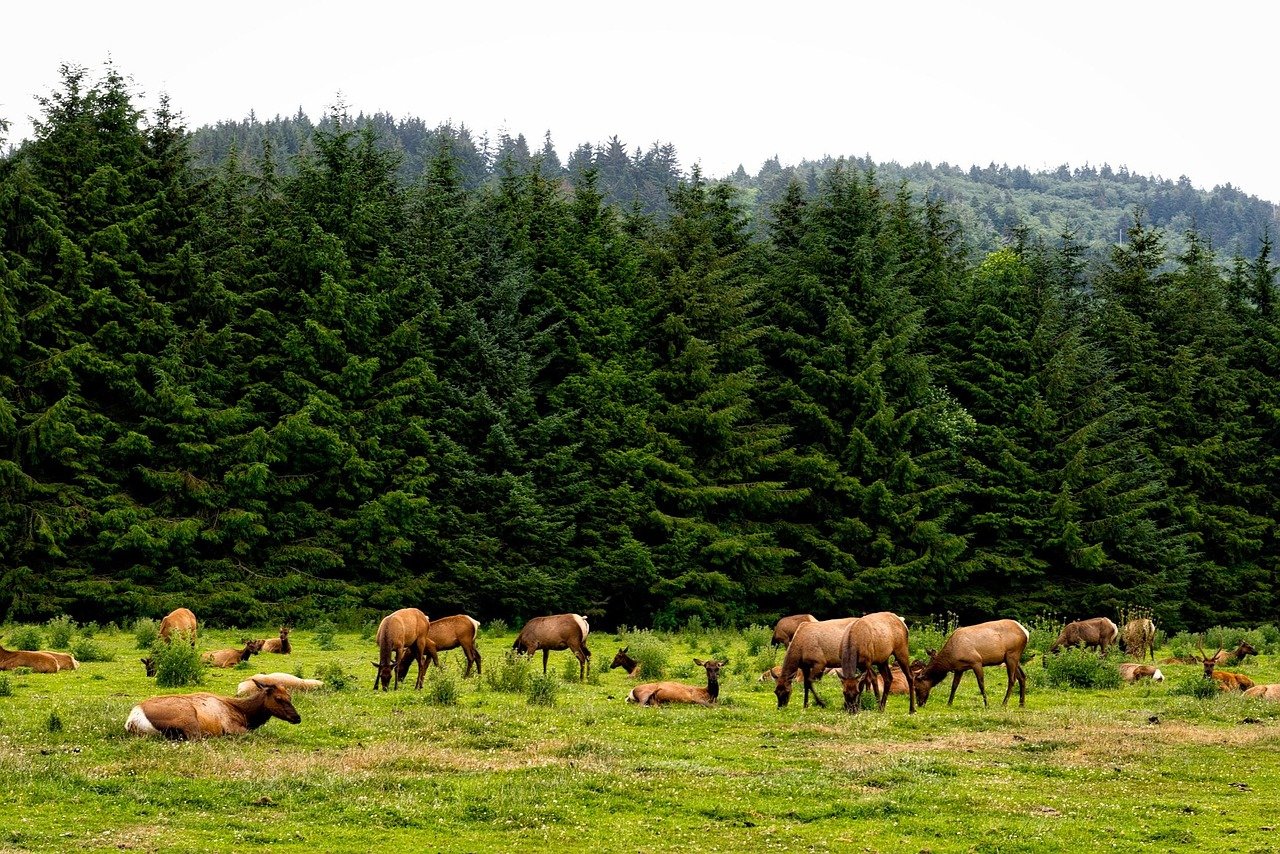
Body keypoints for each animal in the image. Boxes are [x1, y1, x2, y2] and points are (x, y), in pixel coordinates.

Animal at [125, 679, 302, 739]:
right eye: (278, 698)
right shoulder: (231, 726)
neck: (245, 714)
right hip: (188, 718)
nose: (297, 718)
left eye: (290, 697)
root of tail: (133, 720)